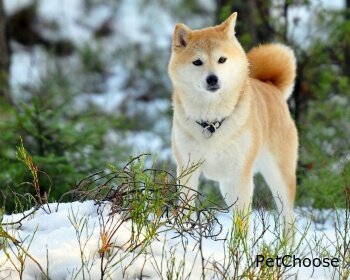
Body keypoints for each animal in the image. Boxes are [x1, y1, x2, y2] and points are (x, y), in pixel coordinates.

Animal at [169, 12, 298, 231]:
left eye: (222, 59)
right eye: (197, 62)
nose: (212, 79)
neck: (211, 122)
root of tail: (272, 86)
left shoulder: (240, 176)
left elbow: (241, 225)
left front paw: (238, 242)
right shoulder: (188, 169)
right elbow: (186, 209)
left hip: (279, 180)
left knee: (288, 220)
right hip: (227, 185)